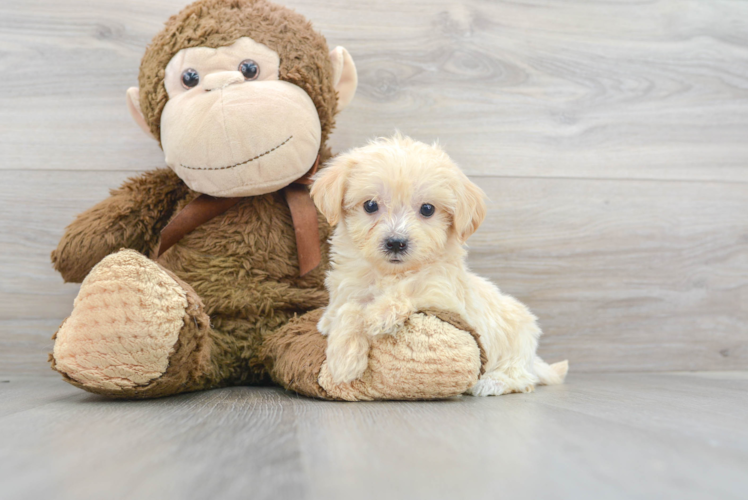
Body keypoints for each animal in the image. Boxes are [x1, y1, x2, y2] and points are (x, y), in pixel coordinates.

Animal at [310, 134, 568, 394]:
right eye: (370, 205)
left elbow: (411, 289)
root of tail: (533, 358)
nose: (396, 242)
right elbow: (347, 309)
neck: (391, 274)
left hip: (519, 339)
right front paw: (343, 358)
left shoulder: (444, 296)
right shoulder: (346, 292)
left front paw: (379, 315)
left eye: (427, 209)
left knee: (523, 377)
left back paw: (492, 382)